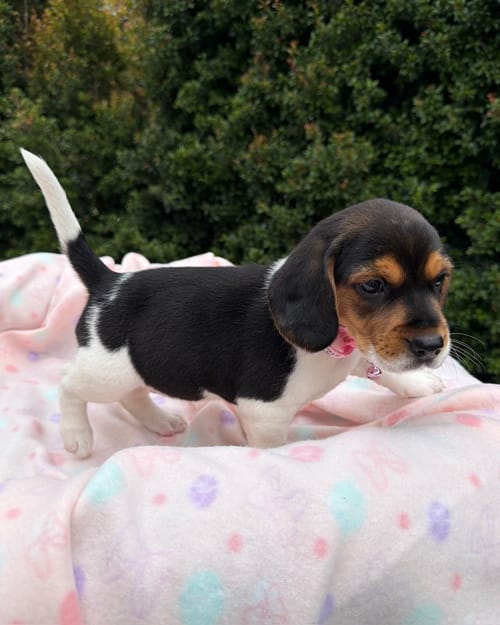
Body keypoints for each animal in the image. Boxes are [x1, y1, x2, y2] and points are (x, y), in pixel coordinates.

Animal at [21, 149, 453, 458]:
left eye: (439, 281)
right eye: (373, 286)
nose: (432, 346)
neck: (336, 341)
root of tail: (109, 280)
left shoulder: (362, 346)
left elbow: (375, 363)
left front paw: (415, 383)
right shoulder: (264, 413)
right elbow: (271, 446)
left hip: (130, 368)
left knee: (133, 393)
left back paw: (160, 421)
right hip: (104, 369)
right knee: (68, 385)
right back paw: (77, 435)